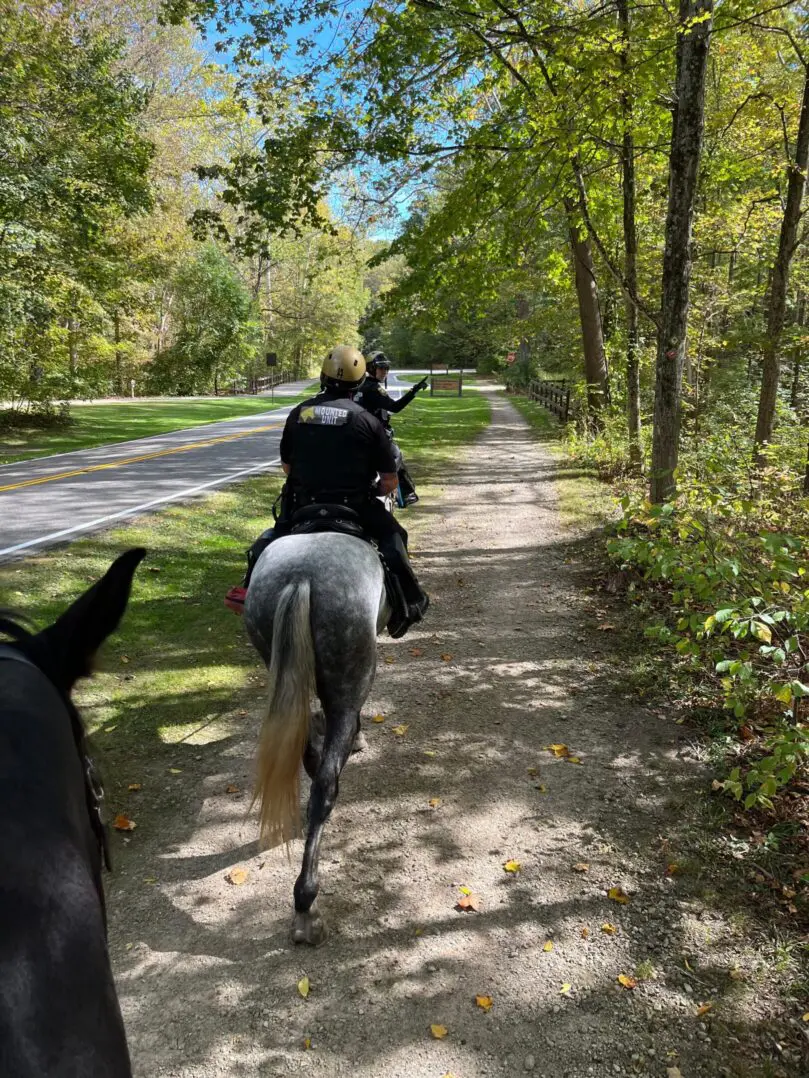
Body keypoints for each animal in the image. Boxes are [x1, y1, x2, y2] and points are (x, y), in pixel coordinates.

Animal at [244, 531, 389, 946]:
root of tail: (301, 577)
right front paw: (359, 737)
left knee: (307, 752)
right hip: (351, 673)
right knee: (326, 782)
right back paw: (306, 903)